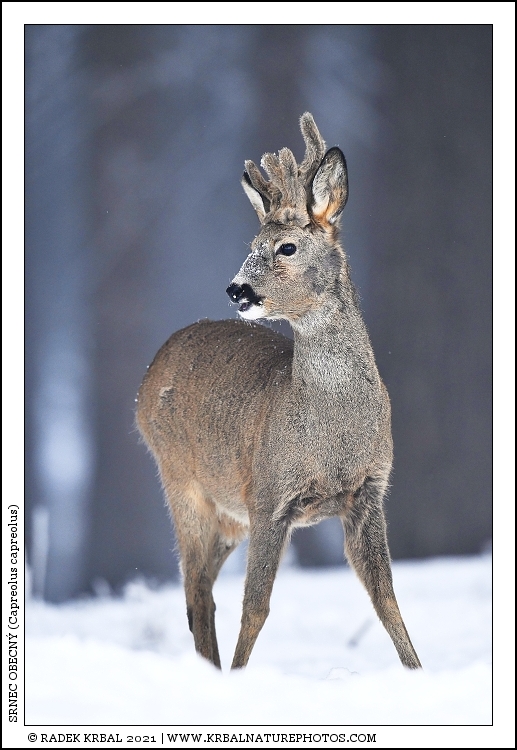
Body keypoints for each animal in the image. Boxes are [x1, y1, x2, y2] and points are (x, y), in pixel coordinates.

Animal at [136, 113, 421, 671]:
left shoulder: (368, 493)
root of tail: (148, 377)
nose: (236, 289)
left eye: (285, 247)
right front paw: (240, 676)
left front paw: (419, 672)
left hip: (229, 513)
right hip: (179, 477)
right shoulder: (269, 493)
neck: (331, 433)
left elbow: (387, 599)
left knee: (202, 585)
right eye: (251, 245)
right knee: (196, 587)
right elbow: (256, 607)